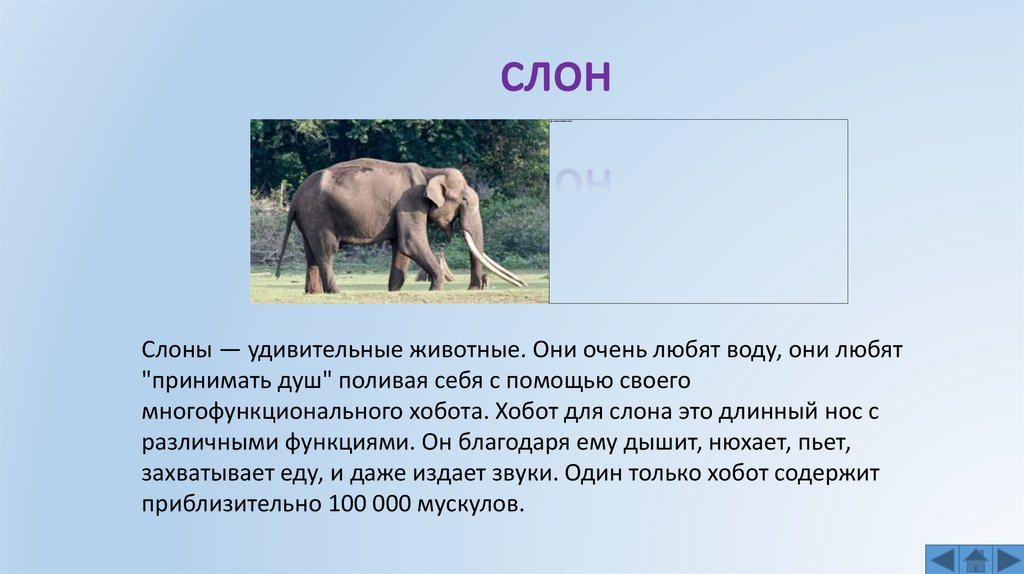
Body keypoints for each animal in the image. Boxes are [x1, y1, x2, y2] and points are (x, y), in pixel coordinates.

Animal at [275, 158, 527, 293]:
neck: (430, 171)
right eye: (464, 201)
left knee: (311, 253)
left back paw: (313, 293)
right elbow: (411, 242)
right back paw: (336, 292)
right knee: (326, 250)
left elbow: (400, 246)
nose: (475, 286)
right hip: (319, 214)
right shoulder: (410, 202)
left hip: (309, 219)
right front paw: (436, 289)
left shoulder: (402, 209)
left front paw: (393, 291)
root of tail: (296, 197)